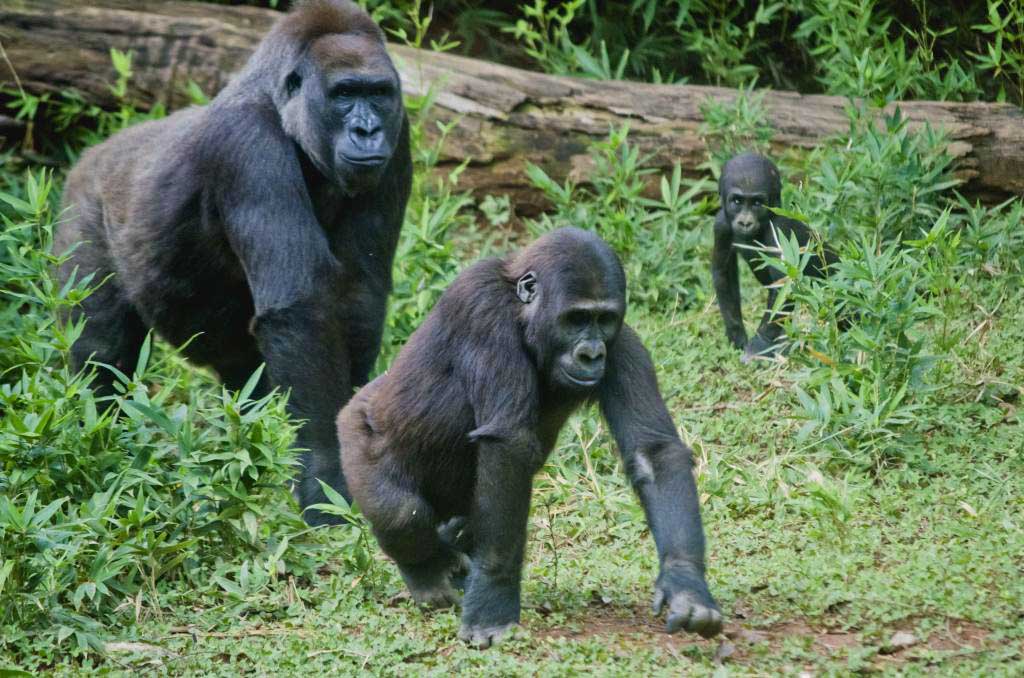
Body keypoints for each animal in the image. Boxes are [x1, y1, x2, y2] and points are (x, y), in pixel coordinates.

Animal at [57, 0, 411, 524]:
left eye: (379, 94)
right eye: (345, 94)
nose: (367, 130)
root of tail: (92, 154)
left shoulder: (399, 133)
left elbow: (358, 294)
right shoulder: (246, 145)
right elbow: (301, 311)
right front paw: (327, 475)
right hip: (83, 205)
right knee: (100, 350)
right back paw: (95, 442)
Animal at [335, 227, 720, 647]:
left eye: (603, 319)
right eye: (576, 319)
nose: (591, 354)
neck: (524, 313)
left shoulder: (621, 344)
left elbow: (654, 453)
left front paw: (685, 583)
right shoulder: (483, 308)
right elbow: (509, 444)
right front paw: (493, 598)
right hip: (355, 434)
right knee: (402, 513)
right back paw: (428, 573)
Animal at [712, 151, 831, 364]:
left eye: (757, 203)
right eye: (737, 201)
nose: (745, 222)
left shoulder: (780, 228)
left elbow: (785, 287)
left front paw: (759, 345)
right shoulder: (721, 224)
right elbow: (723, 274)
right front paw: (736, 335)